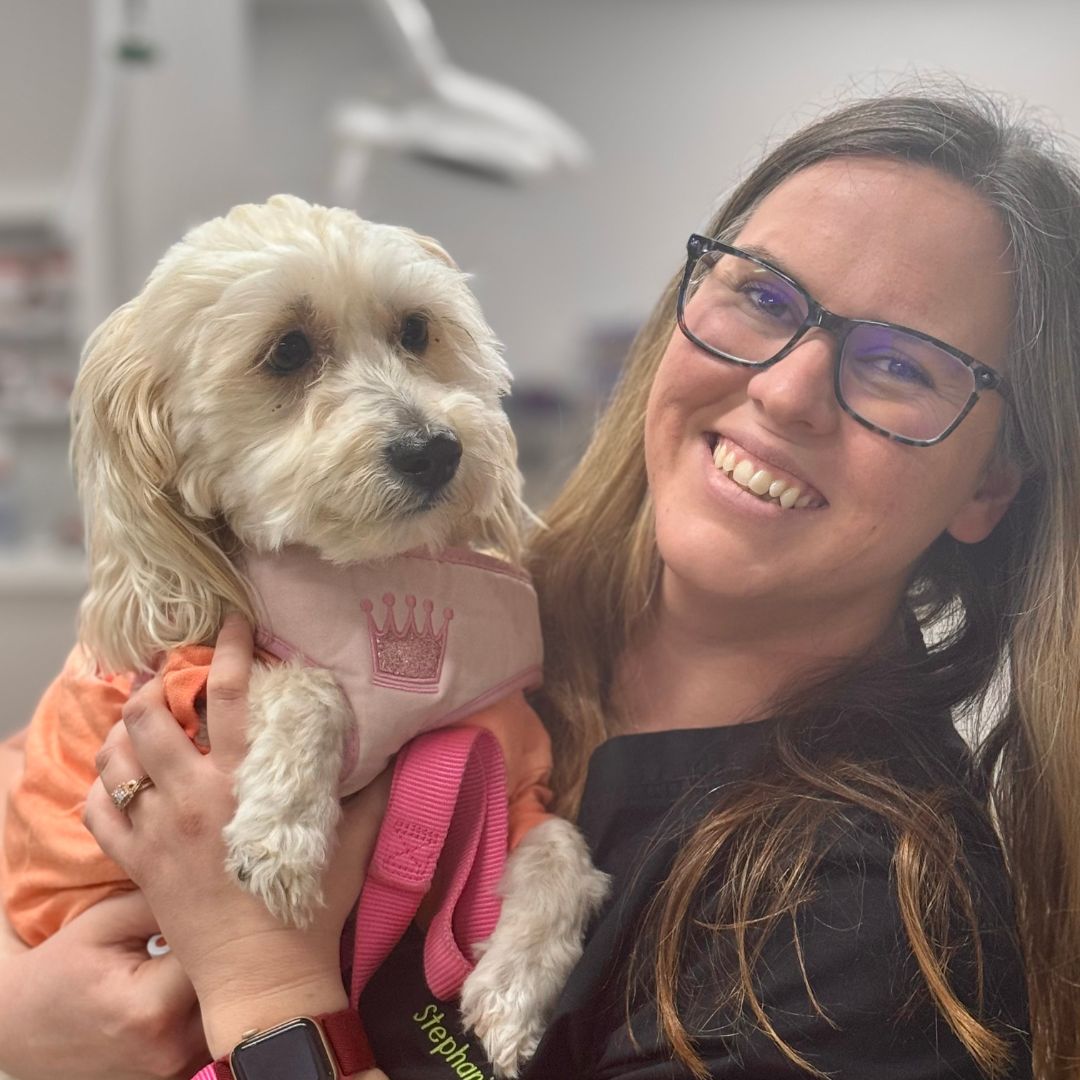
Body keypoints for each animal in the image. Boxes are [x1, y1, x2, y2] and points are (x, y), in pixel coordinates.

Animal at [65, 196, 609, 1071]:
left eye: (417, 330)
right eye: (287, 350)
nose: (436, 450)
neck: (365, 567)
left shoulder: (498, 765)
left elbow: (560, 844)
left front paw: (516, 989)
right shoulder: (185, 688)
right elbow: (311, 683)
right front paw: (282, 836)